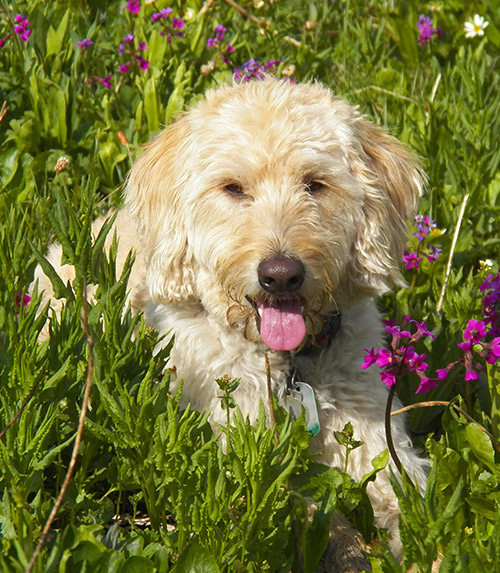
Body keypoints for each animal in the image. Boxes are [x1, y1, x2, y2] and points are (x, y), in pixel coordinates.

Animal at [33, 78, 428, 568]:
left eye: (314, 184)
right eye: (234, 188)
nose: (281, 275)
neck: (286, 367)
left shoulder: (379, 444)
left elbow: (411, 509)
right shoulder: (240, 455)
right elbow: (311, 512)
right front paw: (350, 552)